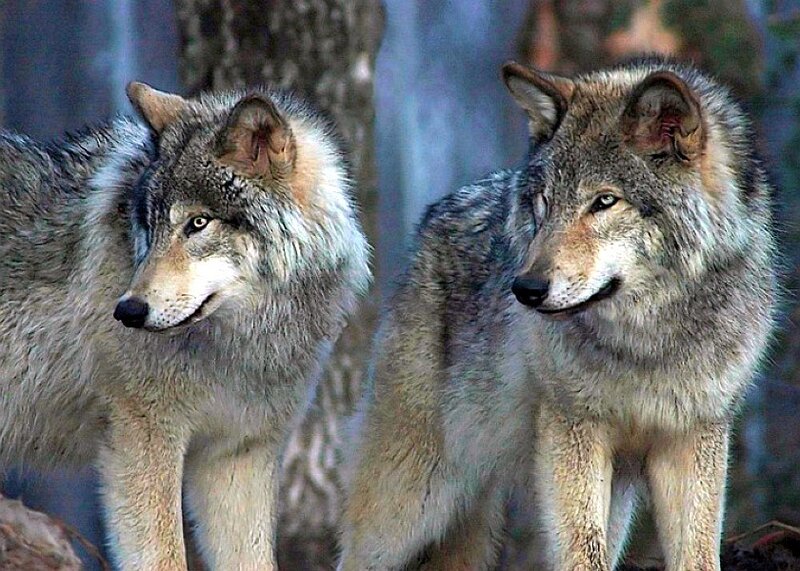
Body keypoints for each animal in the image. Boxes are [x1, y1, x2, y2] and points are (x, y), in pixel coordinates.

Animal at [0, 82, 370, 570]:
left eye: (198, 222)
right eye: (150, 225)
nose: (128, 311)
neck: (240, 342)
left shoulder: (237, 456)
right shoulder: (143, 440)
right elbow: (166, 558)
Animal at [338, 57, 777, 571]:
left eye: (604, 201)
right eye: (544, 203)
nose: (525, 289)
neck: (647, 341)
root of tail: (433, 215)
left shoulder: (695, 436)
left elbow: (697, 554)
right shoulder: (572, 429)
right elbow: (582, 550)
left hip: (610, 501)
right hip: (411, 503)